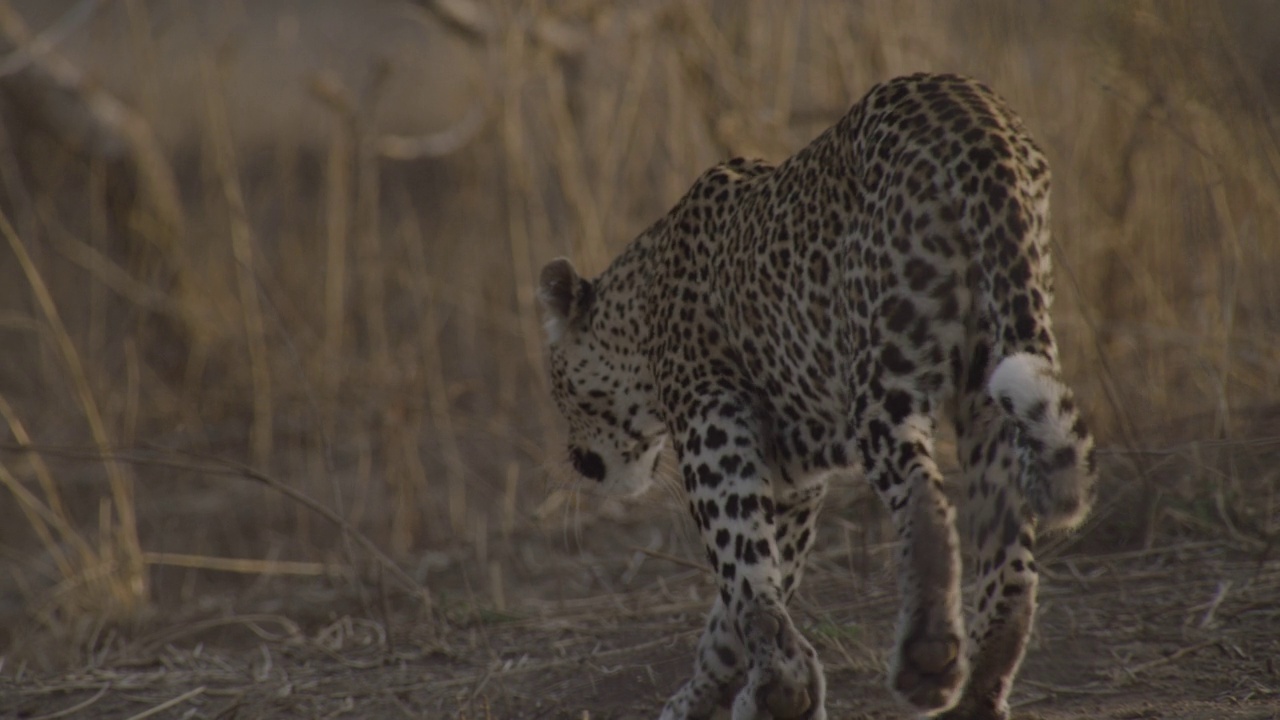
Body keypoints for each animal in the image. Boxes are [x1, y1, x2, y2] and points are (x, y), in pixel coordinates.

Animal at [540, 74, 1100, 717]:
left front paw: (779, 688)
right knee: (1010, 556)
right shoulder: (792, 478)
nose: (577, 460)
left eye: (556, 387)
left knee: (926, 504)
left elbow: (742, 571)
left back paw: (927, 660)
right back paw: (980, 691)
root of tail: (982, 130)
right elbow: (745, 594)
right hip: (993, 386)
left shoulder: (711, 417)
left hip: (884, 384)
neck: (641, 303)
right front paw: (723, 693)